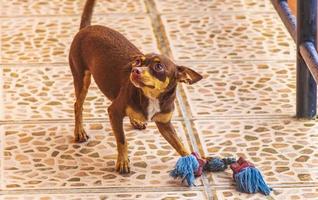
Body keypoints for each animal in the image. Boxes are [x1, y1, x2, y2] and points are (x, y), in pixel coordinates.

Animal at [69, 0, 202, 173]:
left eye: (158, 67)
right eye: (138, 62)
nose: (135, 70)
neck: (151, 96)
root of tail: (86, 28)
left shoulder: (165, 124)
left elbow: (179, 144)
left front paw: (194, 160)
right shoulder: (114, 112)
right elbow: (122, 139)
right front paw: (123, 162)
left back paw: (136, 121)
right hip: (81, 78)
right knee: (78, 105)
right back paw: (79, 132)